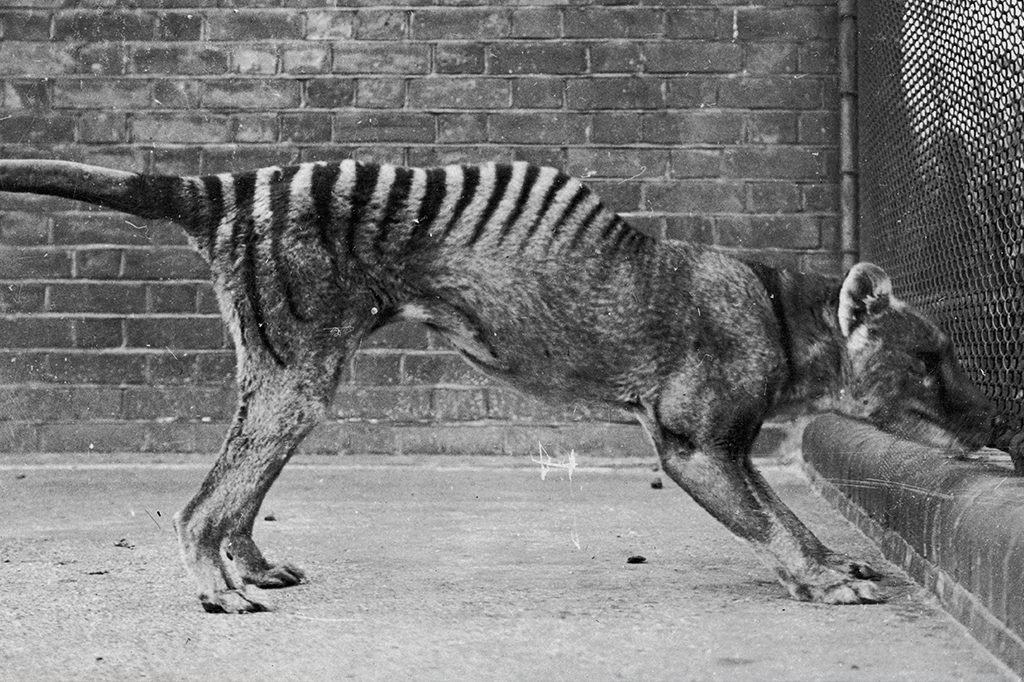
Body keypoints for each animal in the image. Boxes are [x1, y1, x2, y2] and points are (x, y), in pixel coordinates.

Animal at [0, 159, 997, 613]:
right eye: (931, 359)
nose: (998, 422)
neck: (784, 317)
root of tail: (229, 185)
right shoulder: (694, 447)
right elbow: (774, 522)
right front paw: (820, 579)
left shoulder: (730, 448)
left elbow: (784, 511)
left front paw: (832, 564)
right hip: (297, 379)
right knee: (199, 506)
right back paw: (216, 586)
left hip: (295, 381)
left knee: (240, 487)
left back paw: (248, 561)